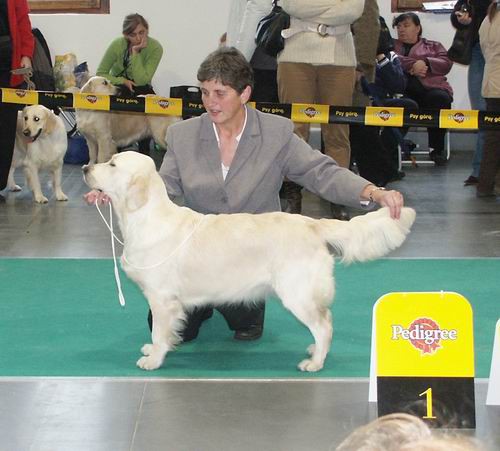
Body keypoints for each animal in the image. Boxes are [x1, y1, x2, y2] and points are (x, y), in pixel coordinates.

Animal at [83, 153, 418, 374]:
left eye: (112, 164)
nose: (86, 167)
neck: (143, 217)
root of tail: (312, 224)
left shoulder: (163, 299)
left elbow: (159, 331)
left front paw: (153, 359)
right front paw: (154, 350)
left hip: (297, 293)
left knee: (324, 324)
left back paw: (314, 362)